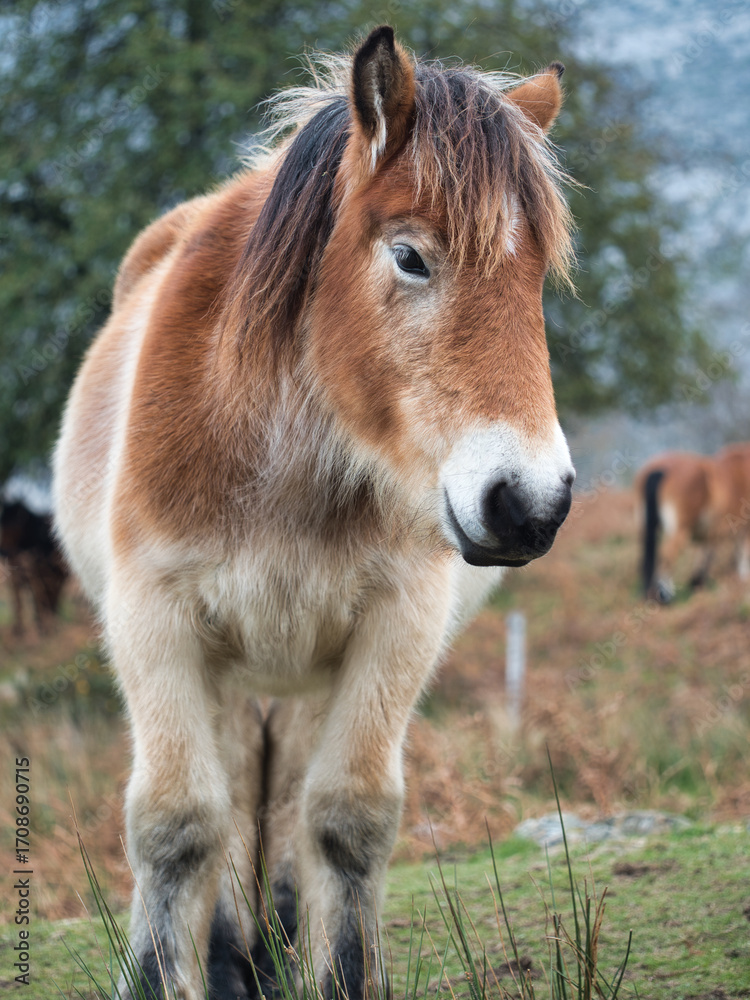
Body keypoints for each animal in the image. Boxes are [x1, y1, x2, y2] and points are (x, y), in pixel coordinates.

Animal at [53, 26, 575, 1000]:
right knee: (228, 802)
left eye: (534, 278)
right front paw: (167, 973)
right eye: (411, 256)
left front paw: (336, 971)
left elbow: (346, 816)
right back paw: (232, 955)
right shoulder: (156, 623)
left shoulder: (395, 628)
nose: (530, 502)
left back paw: (278, 944)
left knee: (288, 799)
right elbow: (178, 822)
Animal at [637, 444, 750, 601]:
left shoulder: (711, 532)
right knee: (668, 555)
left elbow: (706, 554)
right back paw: (665, 596)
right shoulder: (743, 528)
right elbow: (742, 554)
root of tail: (659, 468)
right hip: (680, 531)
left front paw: (697, 584)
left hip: (646, 527)